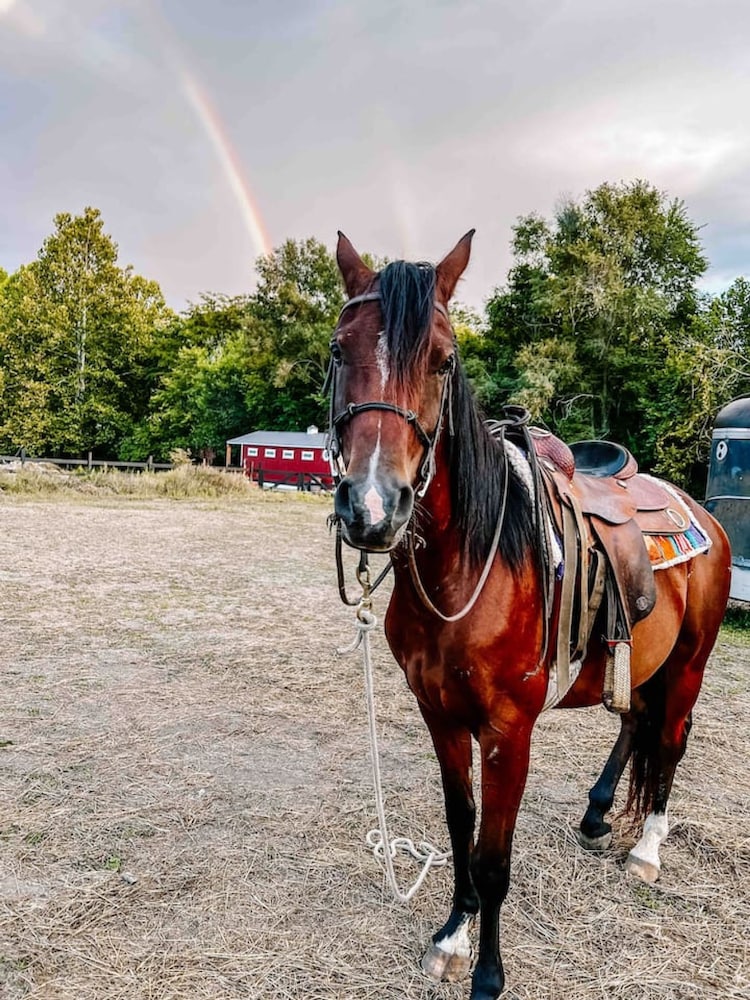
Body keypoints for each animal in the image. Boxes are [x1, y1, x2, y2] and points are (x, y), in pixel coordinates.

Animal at [327, 230, 732, 1000]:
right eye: (339, 349)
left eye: (443, 359)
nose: (372, 508)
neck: (465, 570)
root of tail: (700, 511)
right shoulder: (440, 714)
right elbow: (461, 827)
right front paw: (452, 937)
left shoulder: (508, 729)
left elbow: (493, 855)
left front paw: (488, 973)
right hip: (641, 659)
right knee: (635, 723)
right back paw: (599, 815)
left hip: (690, 661)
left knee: (670, 739)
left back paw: (648, 848)